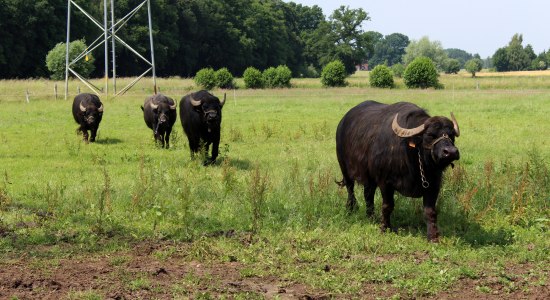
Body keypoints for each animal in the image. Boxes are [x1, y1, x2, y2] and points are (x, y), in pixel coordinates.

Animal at [336, 101, 462, 241]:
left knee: (368, 194)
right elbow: (387, 206)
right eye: (430, 135)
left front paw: (433, 236)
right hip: (344, 168)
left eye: (451, 135)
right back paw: (350, 208)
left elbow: (430, 211)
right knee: (350, 189)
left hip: (370, 178)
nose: (450, 152)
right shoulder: (385, 183)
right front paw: (385, 228)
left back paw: (371, 215)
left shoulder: (434, 184)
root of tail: (343, 122)